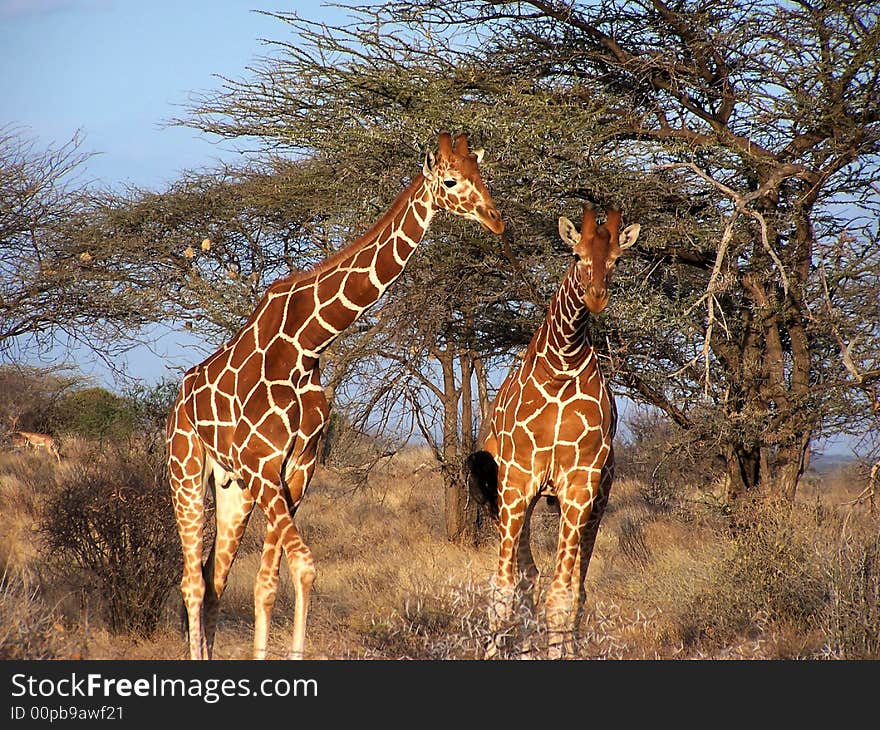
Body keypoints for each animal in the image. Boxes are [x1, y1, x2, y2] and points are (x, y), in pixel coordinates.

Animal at [168, 131, 506, 660]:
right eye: (451, 181)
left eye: (481, 174)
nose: (496, 219)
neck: (307, 342)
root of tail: (177, 401)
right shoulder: (265, 467)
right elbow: (304, 567)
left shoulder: (294, 470)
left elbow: (267, 584)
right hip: (185, 471)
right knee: (192, 582)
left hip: (233, 488)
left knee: (214, 579)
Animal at [468, 202, 640, 656]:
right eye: (576, 255)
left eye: (617, 260)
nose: (596, 296)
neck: (562, 362)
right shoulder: (517, 481)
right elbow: (504, 592)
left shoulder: (580, 485)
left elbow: (562, 596)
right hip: (503, 497)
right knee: (526, 579)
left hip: (598, 500)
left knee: (573, 587)